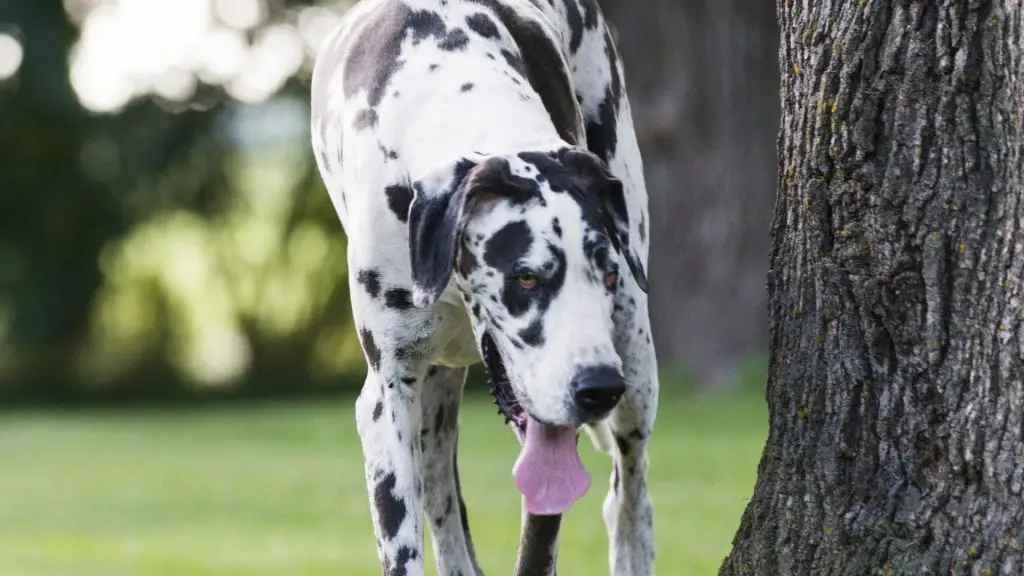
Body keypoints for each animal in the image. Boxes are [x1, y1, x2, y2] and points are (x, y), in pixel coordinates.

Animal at [311, 2, 659, 569]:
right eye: (526, 277)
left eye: (605, 274)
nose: (597, 388)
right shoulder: (387, 398)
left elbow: (541, 539)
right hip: (433, 408)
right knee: (443, 504)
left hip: (635, 354)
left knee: (630, 494)